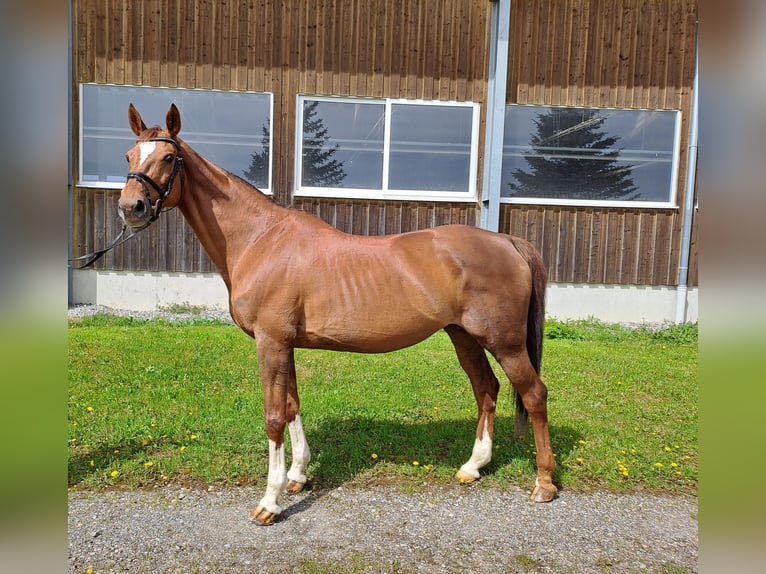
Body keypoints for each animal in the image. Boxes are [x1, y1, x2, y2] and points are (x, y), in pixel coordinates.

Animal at [115, 104, 560, 528]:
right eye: (130, 155)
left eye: (169, 157)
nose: (131, 207)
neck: (261, 240)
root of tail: (507, 240)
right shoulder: (285, 344)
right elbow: (292, 406)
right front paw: (297, 476)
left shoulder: (271, 343)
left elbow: (274, 416)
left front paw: (269, 502)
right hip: (463, 335)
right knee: (486, 389)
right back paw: (473, 466)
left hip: (505, 343)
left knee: (534, 395)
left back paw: (544, 483)